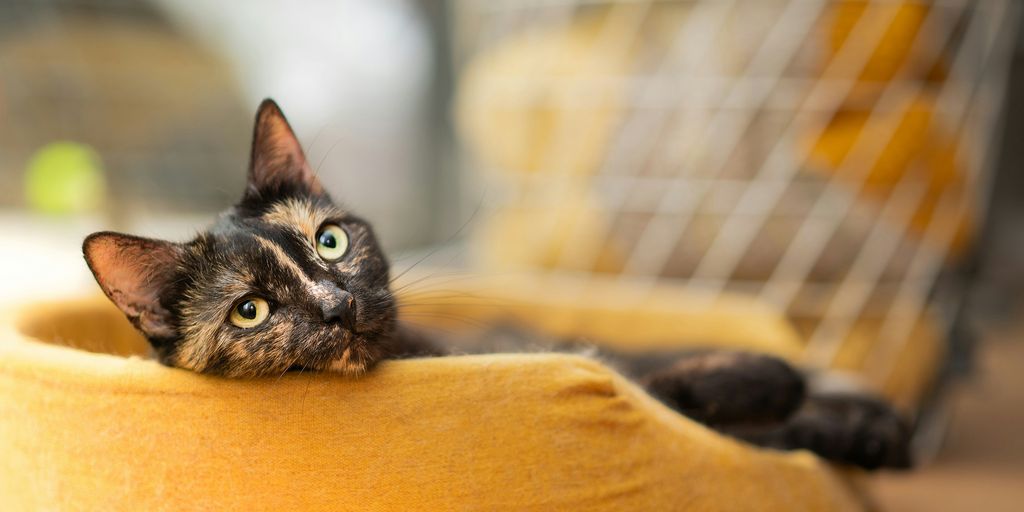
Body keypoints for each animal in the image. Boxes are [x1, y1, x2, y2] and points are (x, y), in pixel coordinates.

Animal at [81, 100, 913, 471]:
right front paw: (806, 408)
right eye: (250, 310)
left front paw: (837, 414)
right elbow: (685, 397)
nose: (338, 304)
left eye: (331, 241)